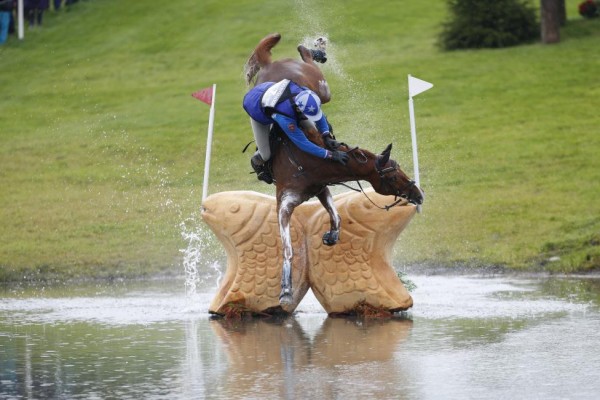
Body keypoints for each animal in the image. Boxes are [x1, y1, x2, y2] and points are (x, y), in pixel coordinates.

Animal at [243, 34, 422, 304]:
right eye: (392, 177)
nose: (418, 195)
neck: (308, 161)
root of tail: (270, 64)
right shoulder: (284, 203)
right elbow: (287, 248)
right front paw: (285, 289)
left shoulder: (321, 188)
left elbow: (336, 217)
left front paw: (331, 236)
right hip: (308, 93)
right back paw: (314, 48)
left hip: (321, 90)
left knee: (307, 59)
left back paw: (316, 49)